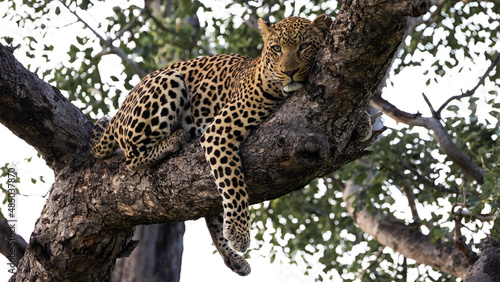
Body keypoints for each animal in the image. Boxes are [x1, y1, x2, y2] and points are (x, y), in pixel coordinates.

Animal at [91, 13, 336, 276]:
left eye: (305, 46)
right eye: (277, 49)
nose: (289, 71)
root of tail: (120, 110)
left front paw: (234, 240)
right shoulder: (219, 131)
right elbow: (233, 183)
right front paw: (240, 234)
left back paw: (232, 259)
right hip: (168, 82)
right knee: (132, 156)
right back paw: (174, 139)